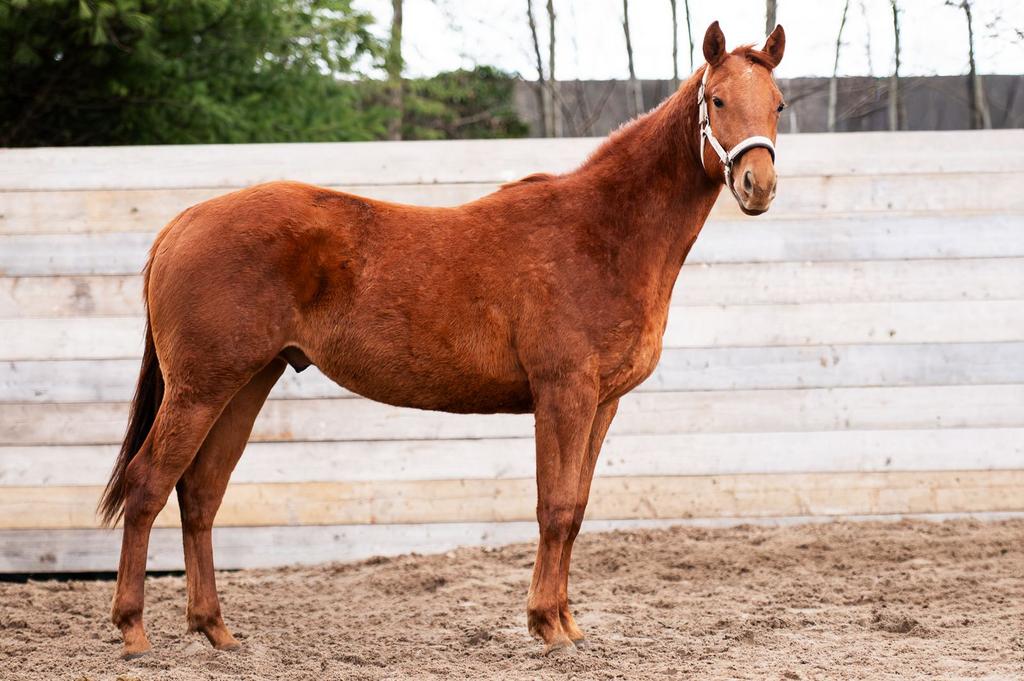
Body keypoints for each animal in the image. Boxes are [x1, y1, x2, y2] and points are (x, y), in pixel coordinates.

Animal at [98, 21, 786, 658]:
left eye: (778, 104)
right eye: (717, 99)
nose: (758, 186)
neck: (601, 233)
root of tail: (182, 223)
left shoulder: (602, 403)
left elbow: (576, 510)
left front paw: (566, 624)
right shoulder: (563, 394)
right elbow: (554, 507)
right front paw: (547, 627)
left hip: (244, 384)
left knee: (200, 494)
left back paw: (216, 631)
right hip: (199, 388)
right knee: (148, 483)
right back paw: (133, 632)